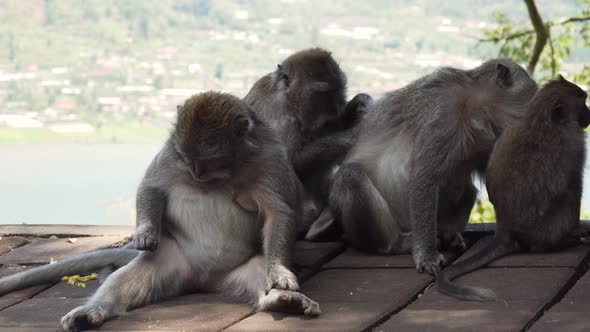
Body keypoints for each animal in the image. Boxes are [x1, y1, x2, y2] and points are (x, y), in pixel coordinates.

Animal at [438, 76, 588, 302]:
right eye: (582, 103)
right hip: (547, 231)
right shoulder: (575, 144)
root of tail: (506, 228)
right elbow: (572, 187)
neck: (540, 120)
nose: (589, 114)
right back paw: (561, 242)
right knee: (568, 197)